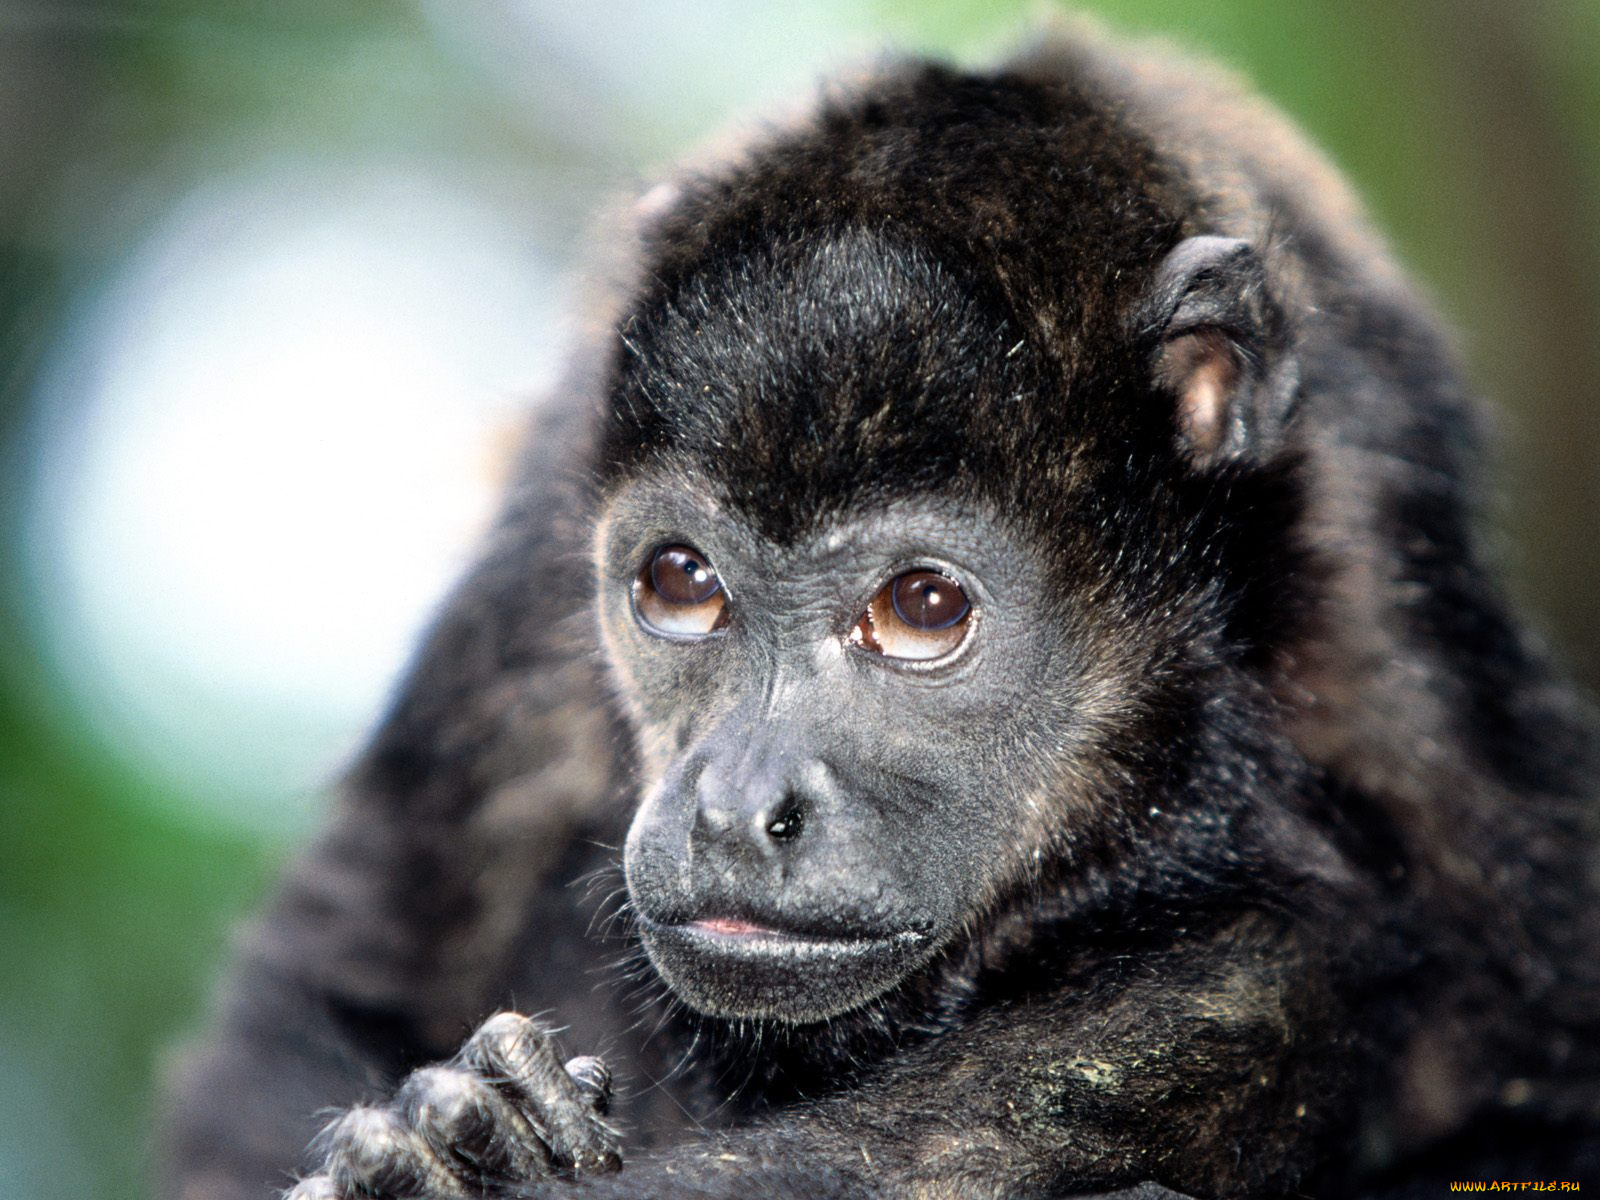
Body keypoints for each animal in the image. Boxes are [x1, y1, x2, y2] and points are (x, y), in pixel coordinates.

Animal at [158, 23, 1600, 1200]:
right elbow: (341, 990)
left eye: (921, 608)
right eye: (679, 583)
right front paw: (439, 1141)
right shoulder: (542, 543)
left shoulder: (1379, 571)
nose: (735, 806)